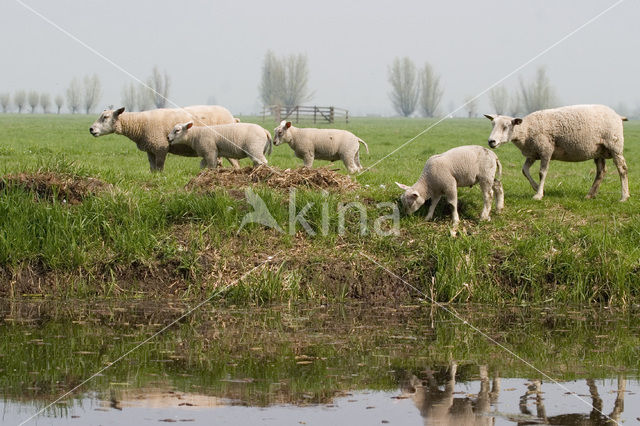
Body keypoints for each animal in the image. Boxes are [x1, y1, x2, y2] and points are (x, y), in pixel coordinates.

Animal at [88, 105, 240, 171]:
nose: (91, 129)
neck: (138, 124)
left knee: (236, 163)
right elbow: (152, 167)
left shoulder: (160, 147)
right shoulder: (150, 149)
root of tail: (232, 117)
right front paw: (154, 177)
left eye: (105, 117)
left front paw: (160, 178)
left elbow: (160, 167)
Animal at [484, 104, 632, 201]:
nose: (491, 141)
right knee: (601, 171)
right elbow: (524, 170)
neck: (526, 130)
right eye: (492, 125)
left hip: (614, 145)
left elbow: (542, 173)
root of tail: (618, 116)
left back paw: (624, 196)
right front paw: (536, 187)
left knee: (622, 169)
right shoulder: (533, 153)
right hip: (598, 150)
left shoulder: (545, 150)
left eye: (506, 126)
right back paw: (590, 195)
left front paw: (538, 195)